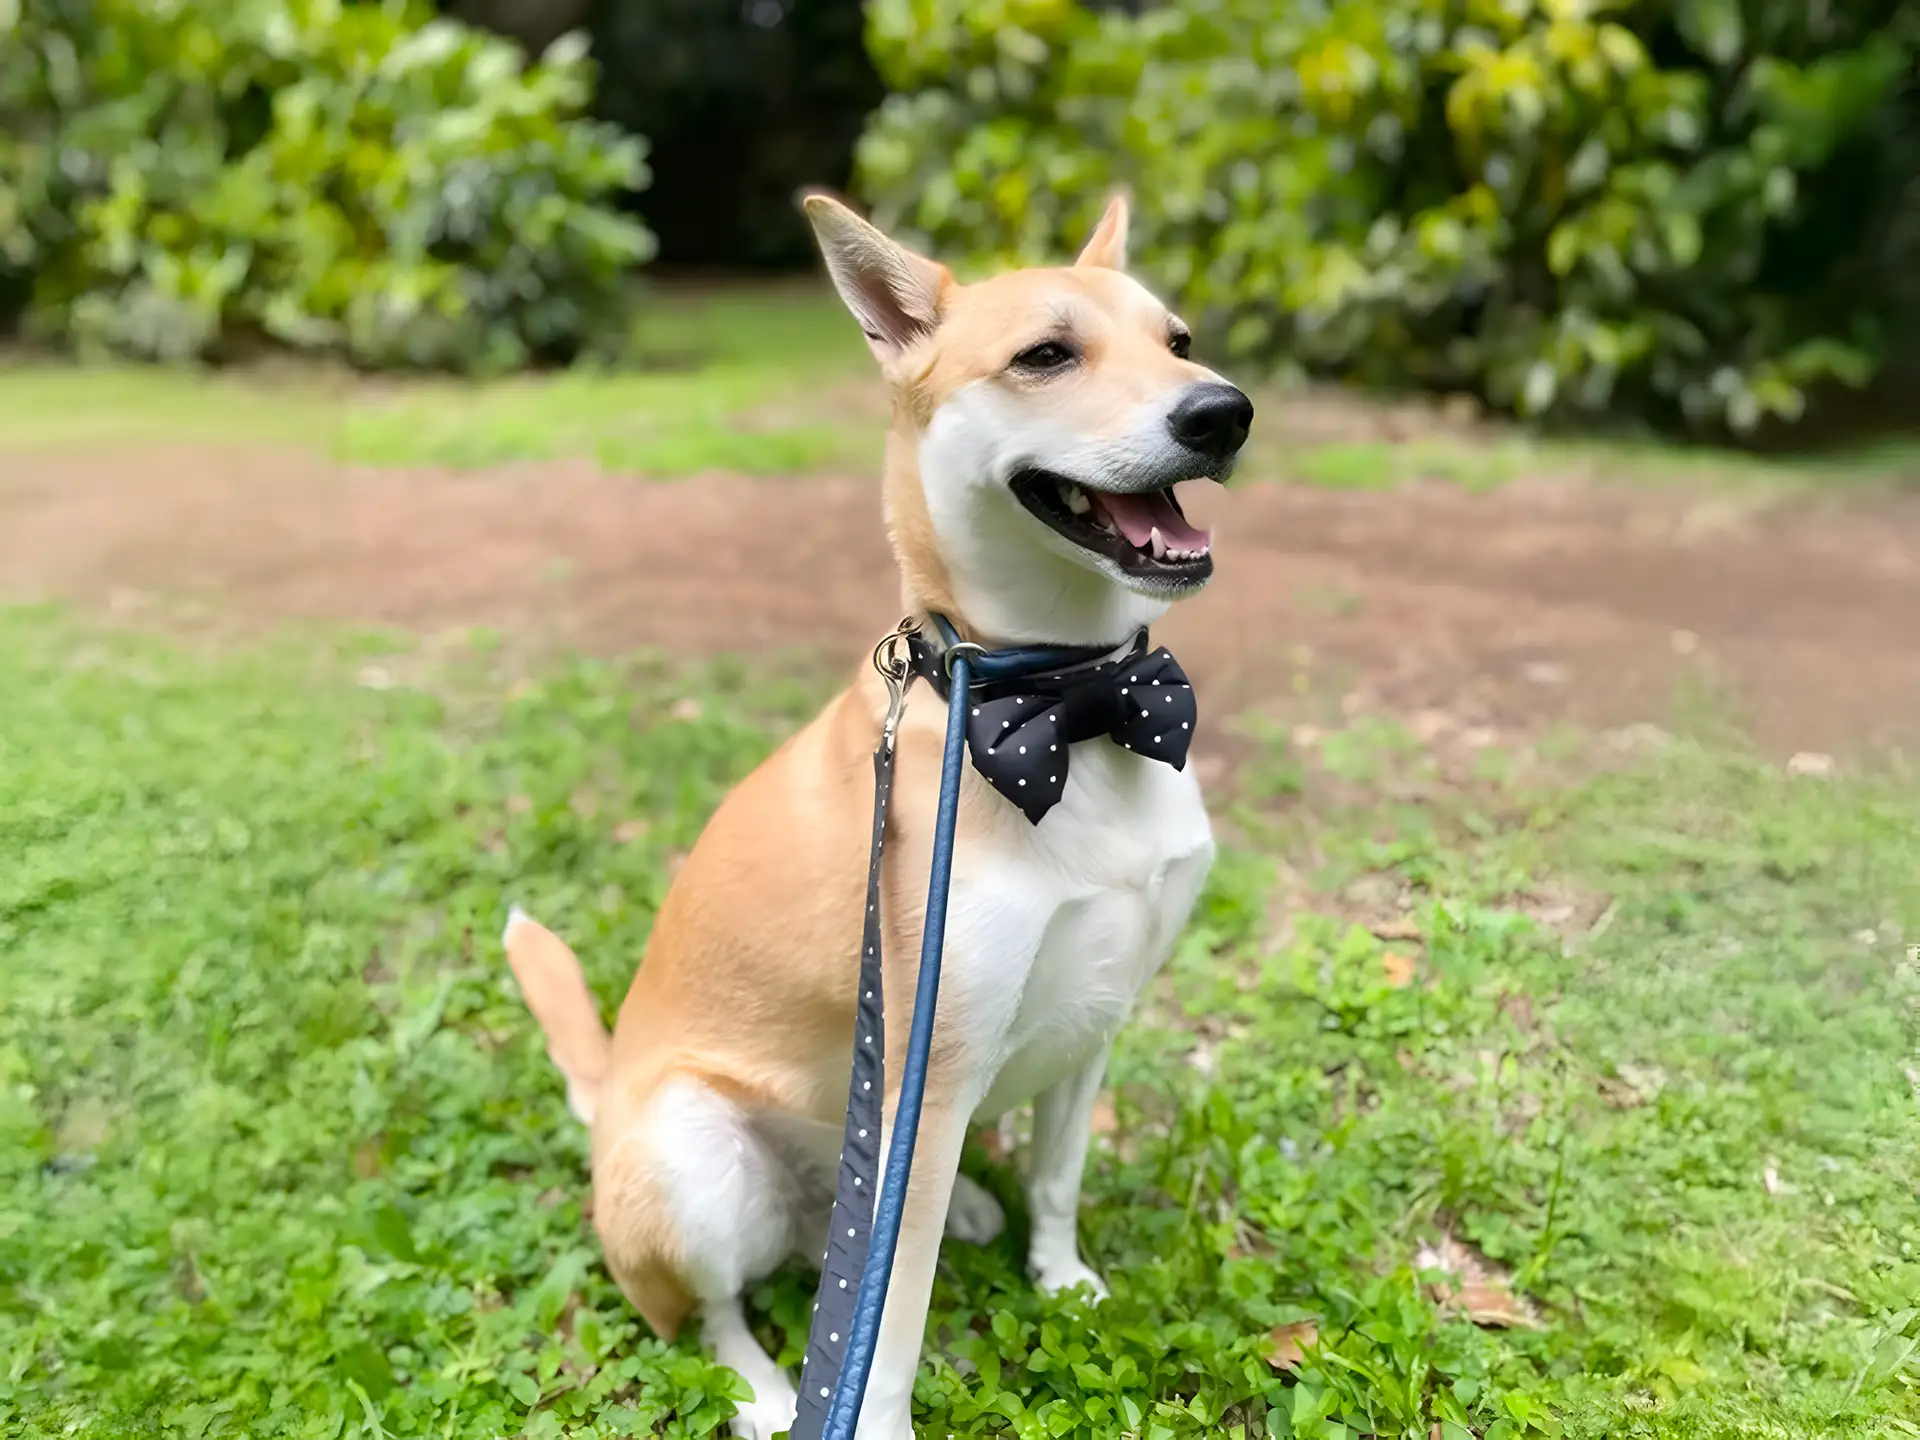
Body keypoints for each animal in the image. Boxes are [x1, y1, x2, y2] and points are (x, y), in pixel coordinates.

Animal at [506, 194, 1259, 1440]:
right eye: (1045, 356)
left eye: (1181, 341)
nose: (1224, 412)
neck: (1069, 703)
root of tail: (606, 1099)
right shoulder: (927, 1086)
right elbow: (890, 1322)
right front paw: (881, 1420)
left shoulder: (1096, 1017)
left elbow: (1056, 1180)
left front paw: (1065, 1281)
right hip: (692, 1159)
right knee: (718, 1314)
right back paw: (767, 1392)